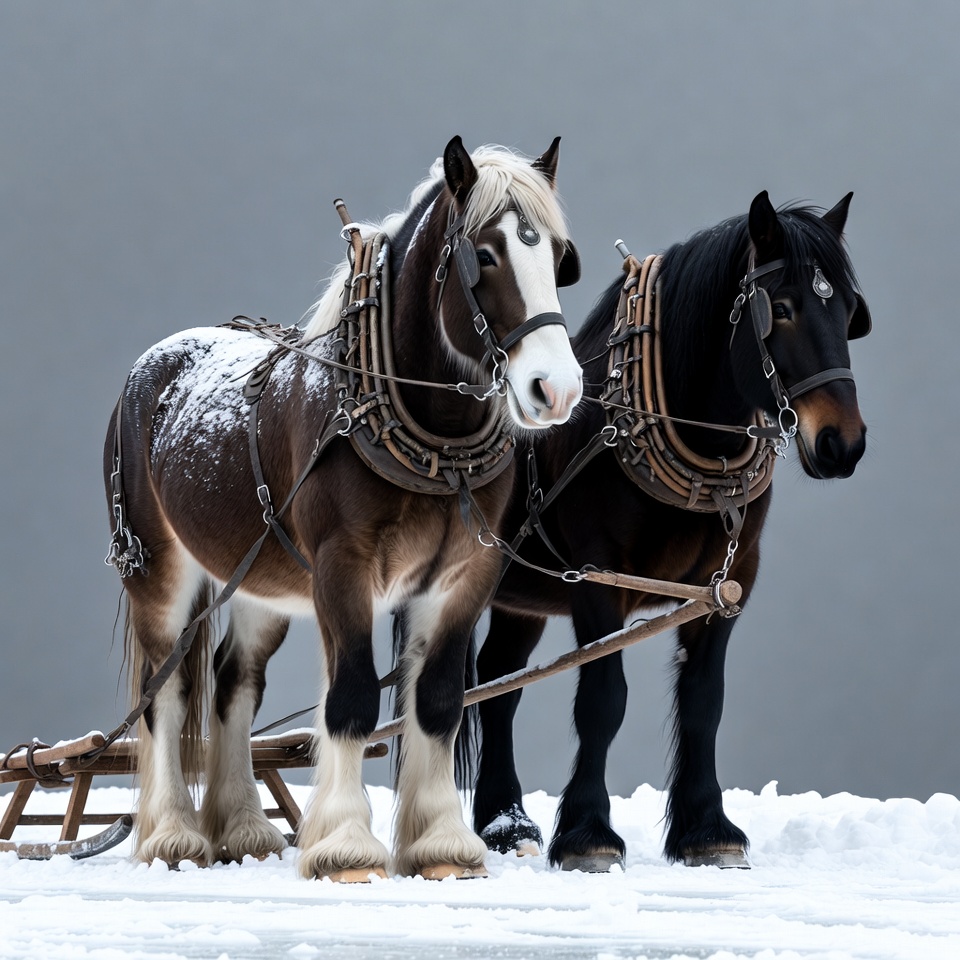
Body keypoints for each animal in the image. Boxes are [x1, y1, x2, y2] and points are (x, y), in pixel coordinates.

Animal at [103, 136, 584, 880]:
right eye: (485, 254)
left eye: (559, 257)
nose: (556, 389)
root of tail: (149, 367)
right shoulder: (342, 565)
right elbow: (352, 696)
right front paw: (347, 847)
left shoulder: (464, 577)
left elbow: (437, 701)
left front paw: (442, 843)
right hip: (158, 569)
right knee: (168, 690)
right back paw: (172, 835)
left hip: (260, 583)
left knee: (233, 684)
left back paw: (244, 829)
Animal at [469, 191, 870, 871]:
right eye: (780, 309)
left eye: (846, 309)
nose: (842, 444)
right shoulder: (596, 580)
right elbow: (603, 701)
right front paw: (588, 835)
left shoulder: (726, 587)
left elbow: (705, 701)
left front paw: (707, 829)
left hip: (518, 600)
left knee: (497, 682)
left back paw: (505, 824)